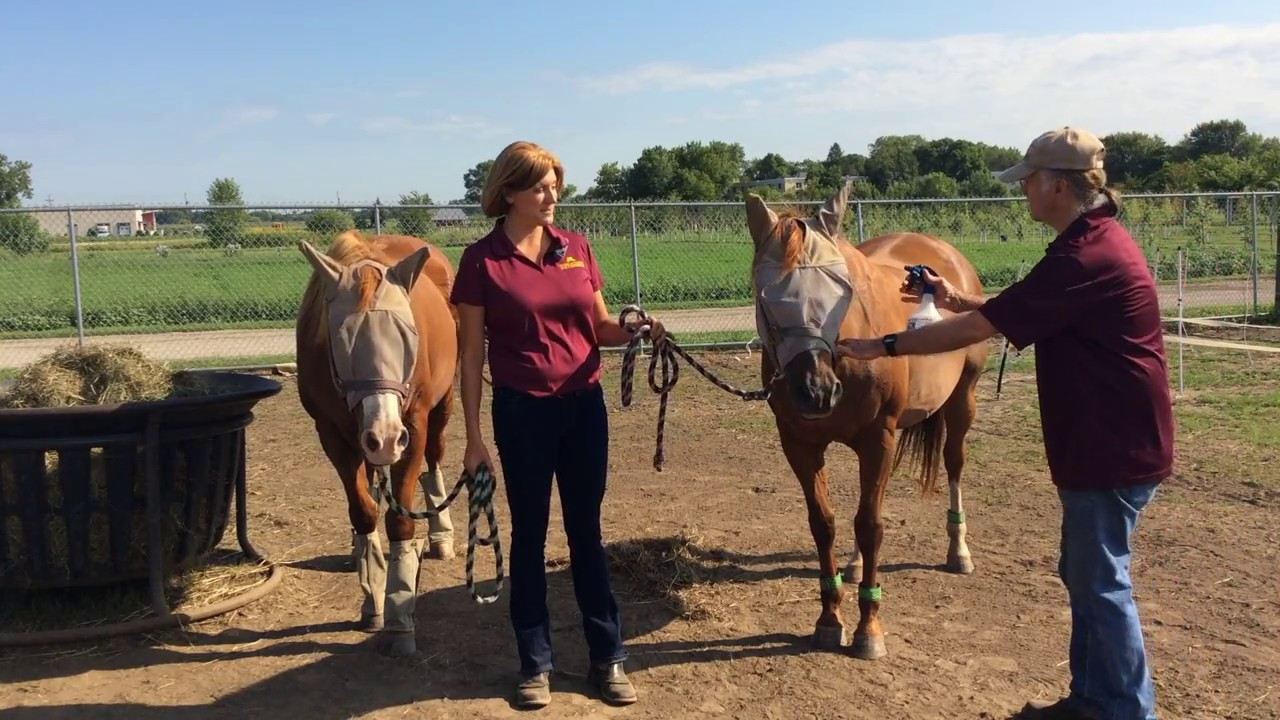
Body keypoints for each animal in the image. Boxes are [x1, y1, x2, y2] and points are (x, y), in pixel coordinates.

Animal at [295, 230, 459, 657]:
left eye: (408, 336)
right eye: (341, 342)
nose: (385, 436)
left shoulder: (413, 426)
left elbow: (399, 518)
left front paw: (401, 617)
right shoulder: (332, 433)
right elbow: (364, 512)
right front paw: (372, 598)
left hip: (443, 405)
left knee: (434, 463)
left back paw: (441, 536)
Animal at [746, 182, 988, 660]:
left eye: (842, 292)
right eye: (766, 299)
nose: (816, 390)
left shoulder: (879, 439)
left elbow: (871, 525)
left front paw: (868, 629)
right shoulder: (799, 443)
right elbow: (825, 523)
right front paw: (828, 619)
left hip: (962, 400)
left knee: (954, 463)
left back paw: (959, 551)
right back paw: (857, 565)